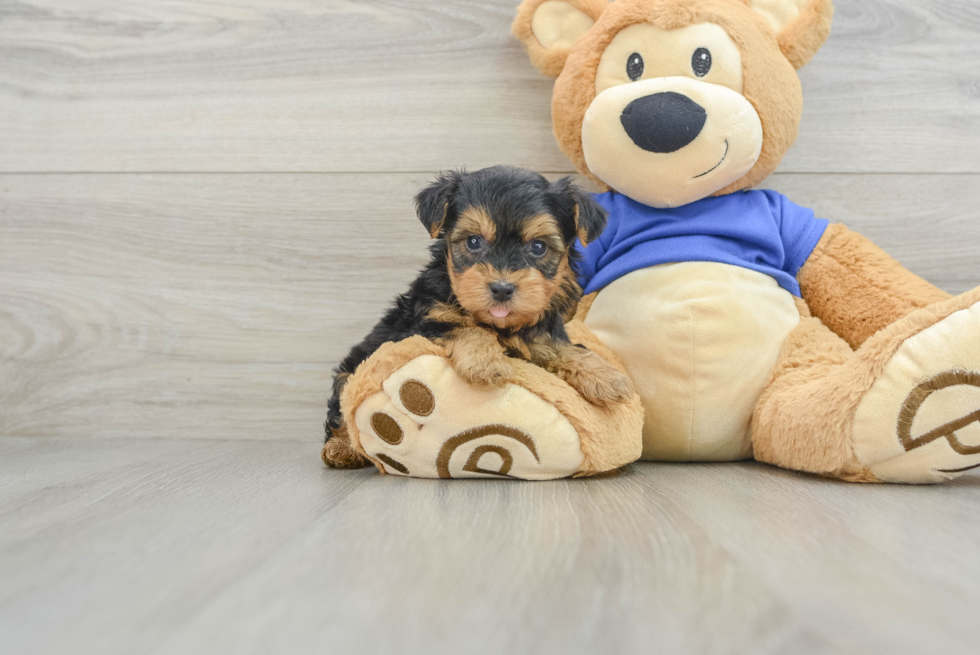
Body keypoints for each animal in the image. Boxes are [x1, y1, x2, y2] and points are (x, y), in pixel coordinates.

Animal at [326, 167, 636, 468]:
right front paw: (487, 364)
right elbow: (466, 329)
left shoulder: (543, 336)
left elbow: (566, 348)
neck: (500, 325)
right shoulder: (425, 320)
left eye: (538, 247)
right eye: (474, 242)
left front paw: (606, 377)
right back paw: (341, 448)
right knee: (341, 407)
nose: (501, 288)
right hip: (351, 369)